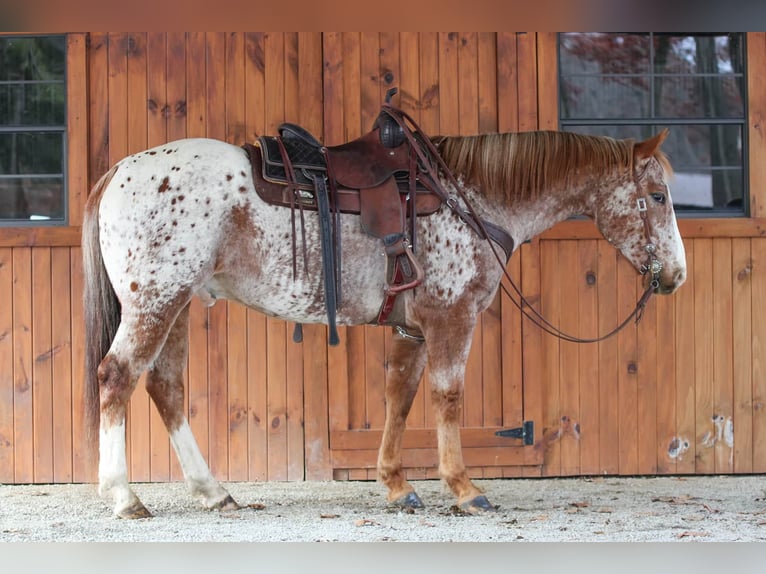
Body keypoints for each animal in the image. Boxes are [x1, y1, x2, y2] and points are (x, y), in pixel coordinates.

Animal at [82, 121, 686, 519]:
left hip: (179, 304)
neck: (470, 198)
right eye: (657, 196)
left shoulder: (411, 327)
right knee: (117, 377)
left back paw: (212, 491)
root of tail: (116, 172)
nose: (676, 275)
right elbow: (447, 397)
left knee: (166, 388)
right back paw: (123, 495)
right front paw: (465, 488)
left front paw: (397, 486)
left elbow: (400, 396)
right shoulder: (450, 317)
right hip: (155, 302)